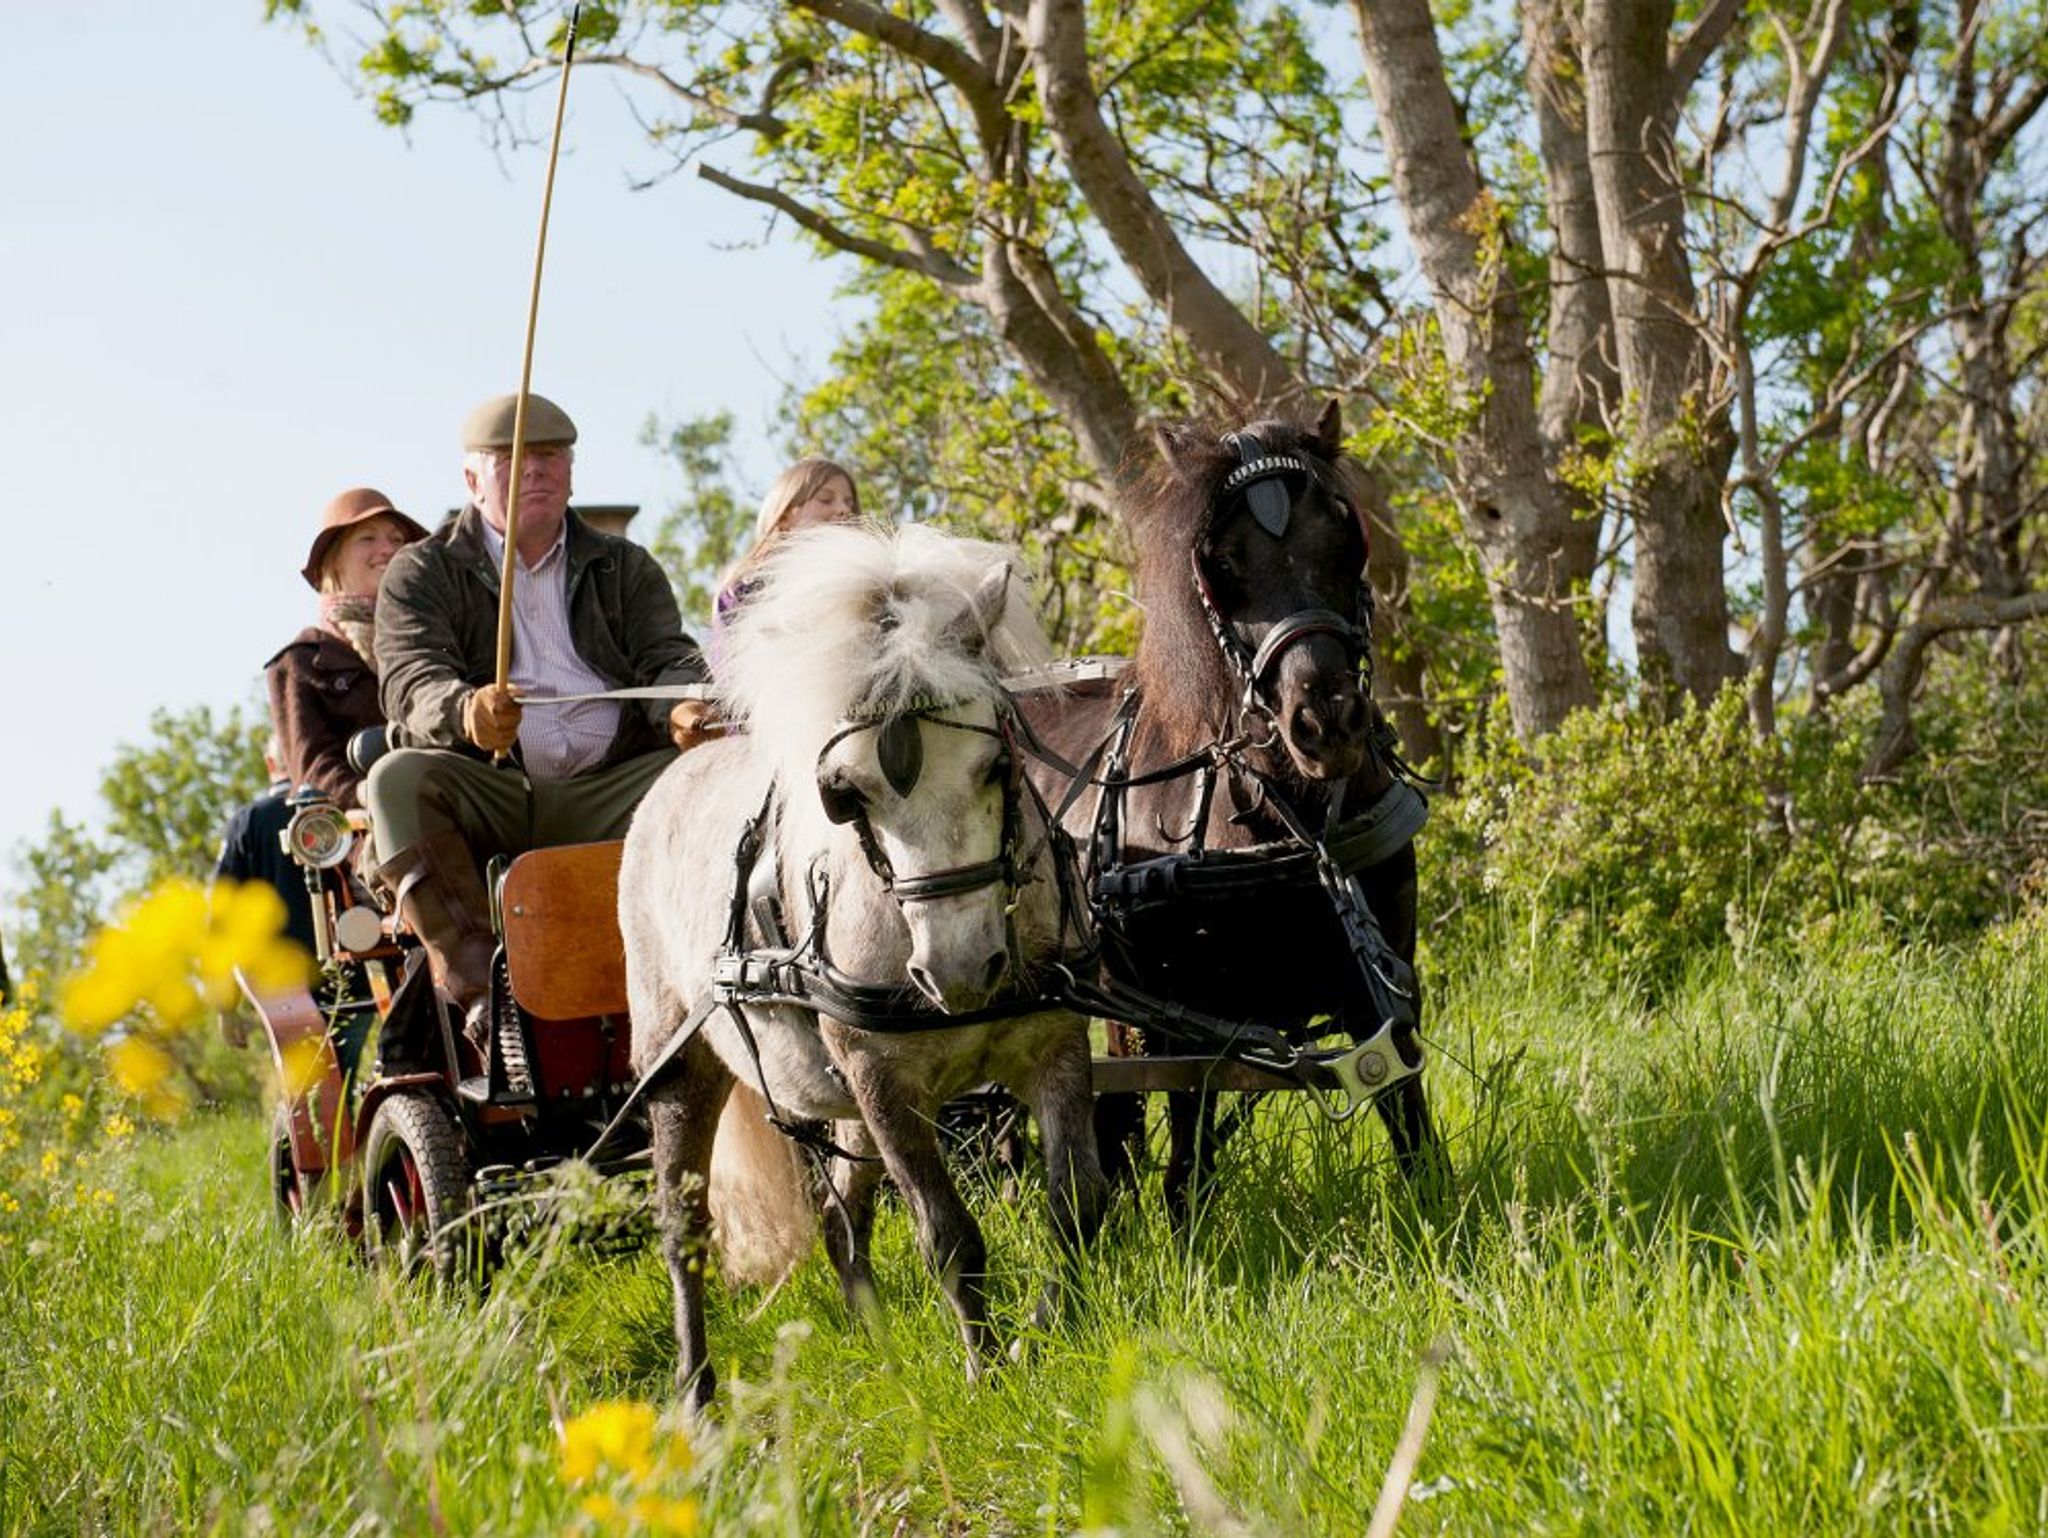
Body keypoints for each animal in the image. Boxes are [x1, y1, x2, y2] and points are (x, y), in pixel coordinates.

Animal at [1019, 403, 1441, 1220]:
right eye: (1219, 562)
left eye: (1343, 529)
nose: (1325, 720)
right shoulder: (1188, 1025)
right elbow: (1188, 1159)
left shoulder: (1380, 987)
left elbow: (1412, 1130)